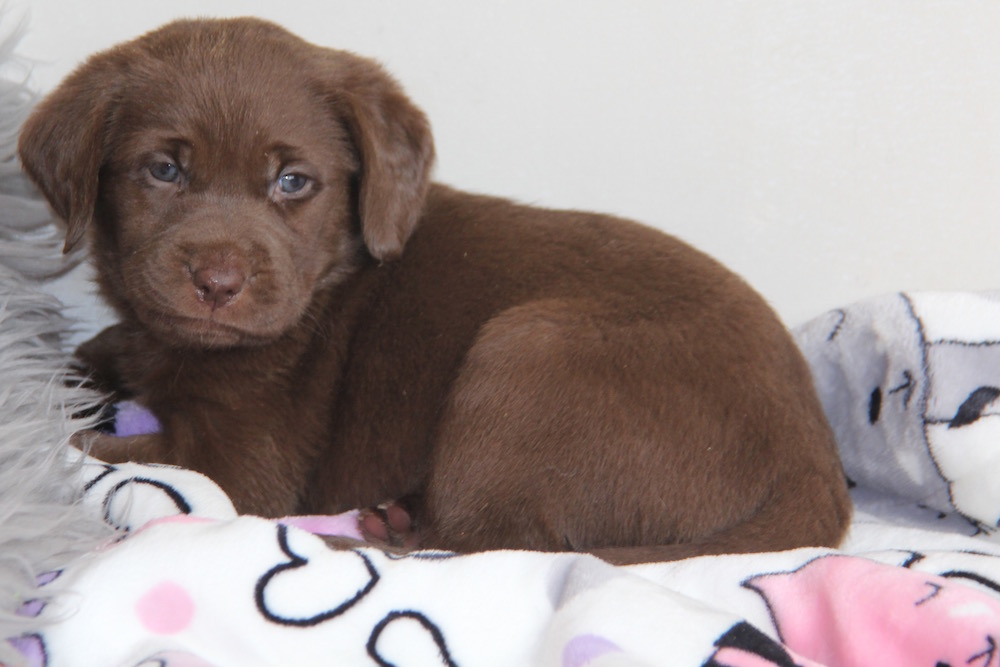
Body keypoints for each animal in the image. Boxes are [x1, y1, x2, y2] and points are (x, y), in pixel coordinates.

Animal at [17, 17, 844, 564]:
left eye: (293, 182)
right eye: (163, 170)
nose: (218, 282)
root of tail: (814, 463)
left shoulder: (244, 460)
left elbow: (110, 450)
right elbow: (96, 357)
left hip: (527, 348)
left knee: (502, 543)